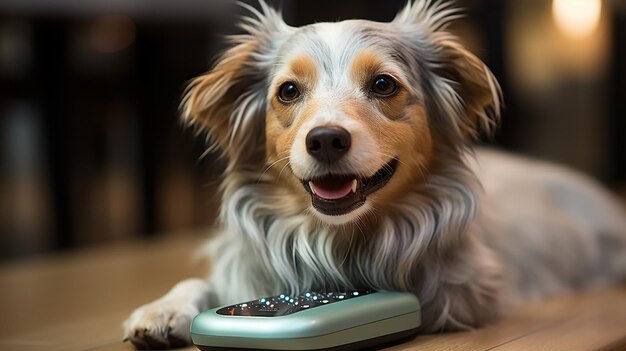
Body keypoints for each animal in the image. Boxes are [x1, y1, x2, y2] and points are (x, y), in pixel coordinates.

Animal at [122, 1, 624, 350]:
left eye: (384, 84)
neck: (334, 238)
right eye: (288, 91)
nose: (325, 139)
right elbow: (211, 285)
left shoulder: (464, 289)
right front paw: (163, 311)